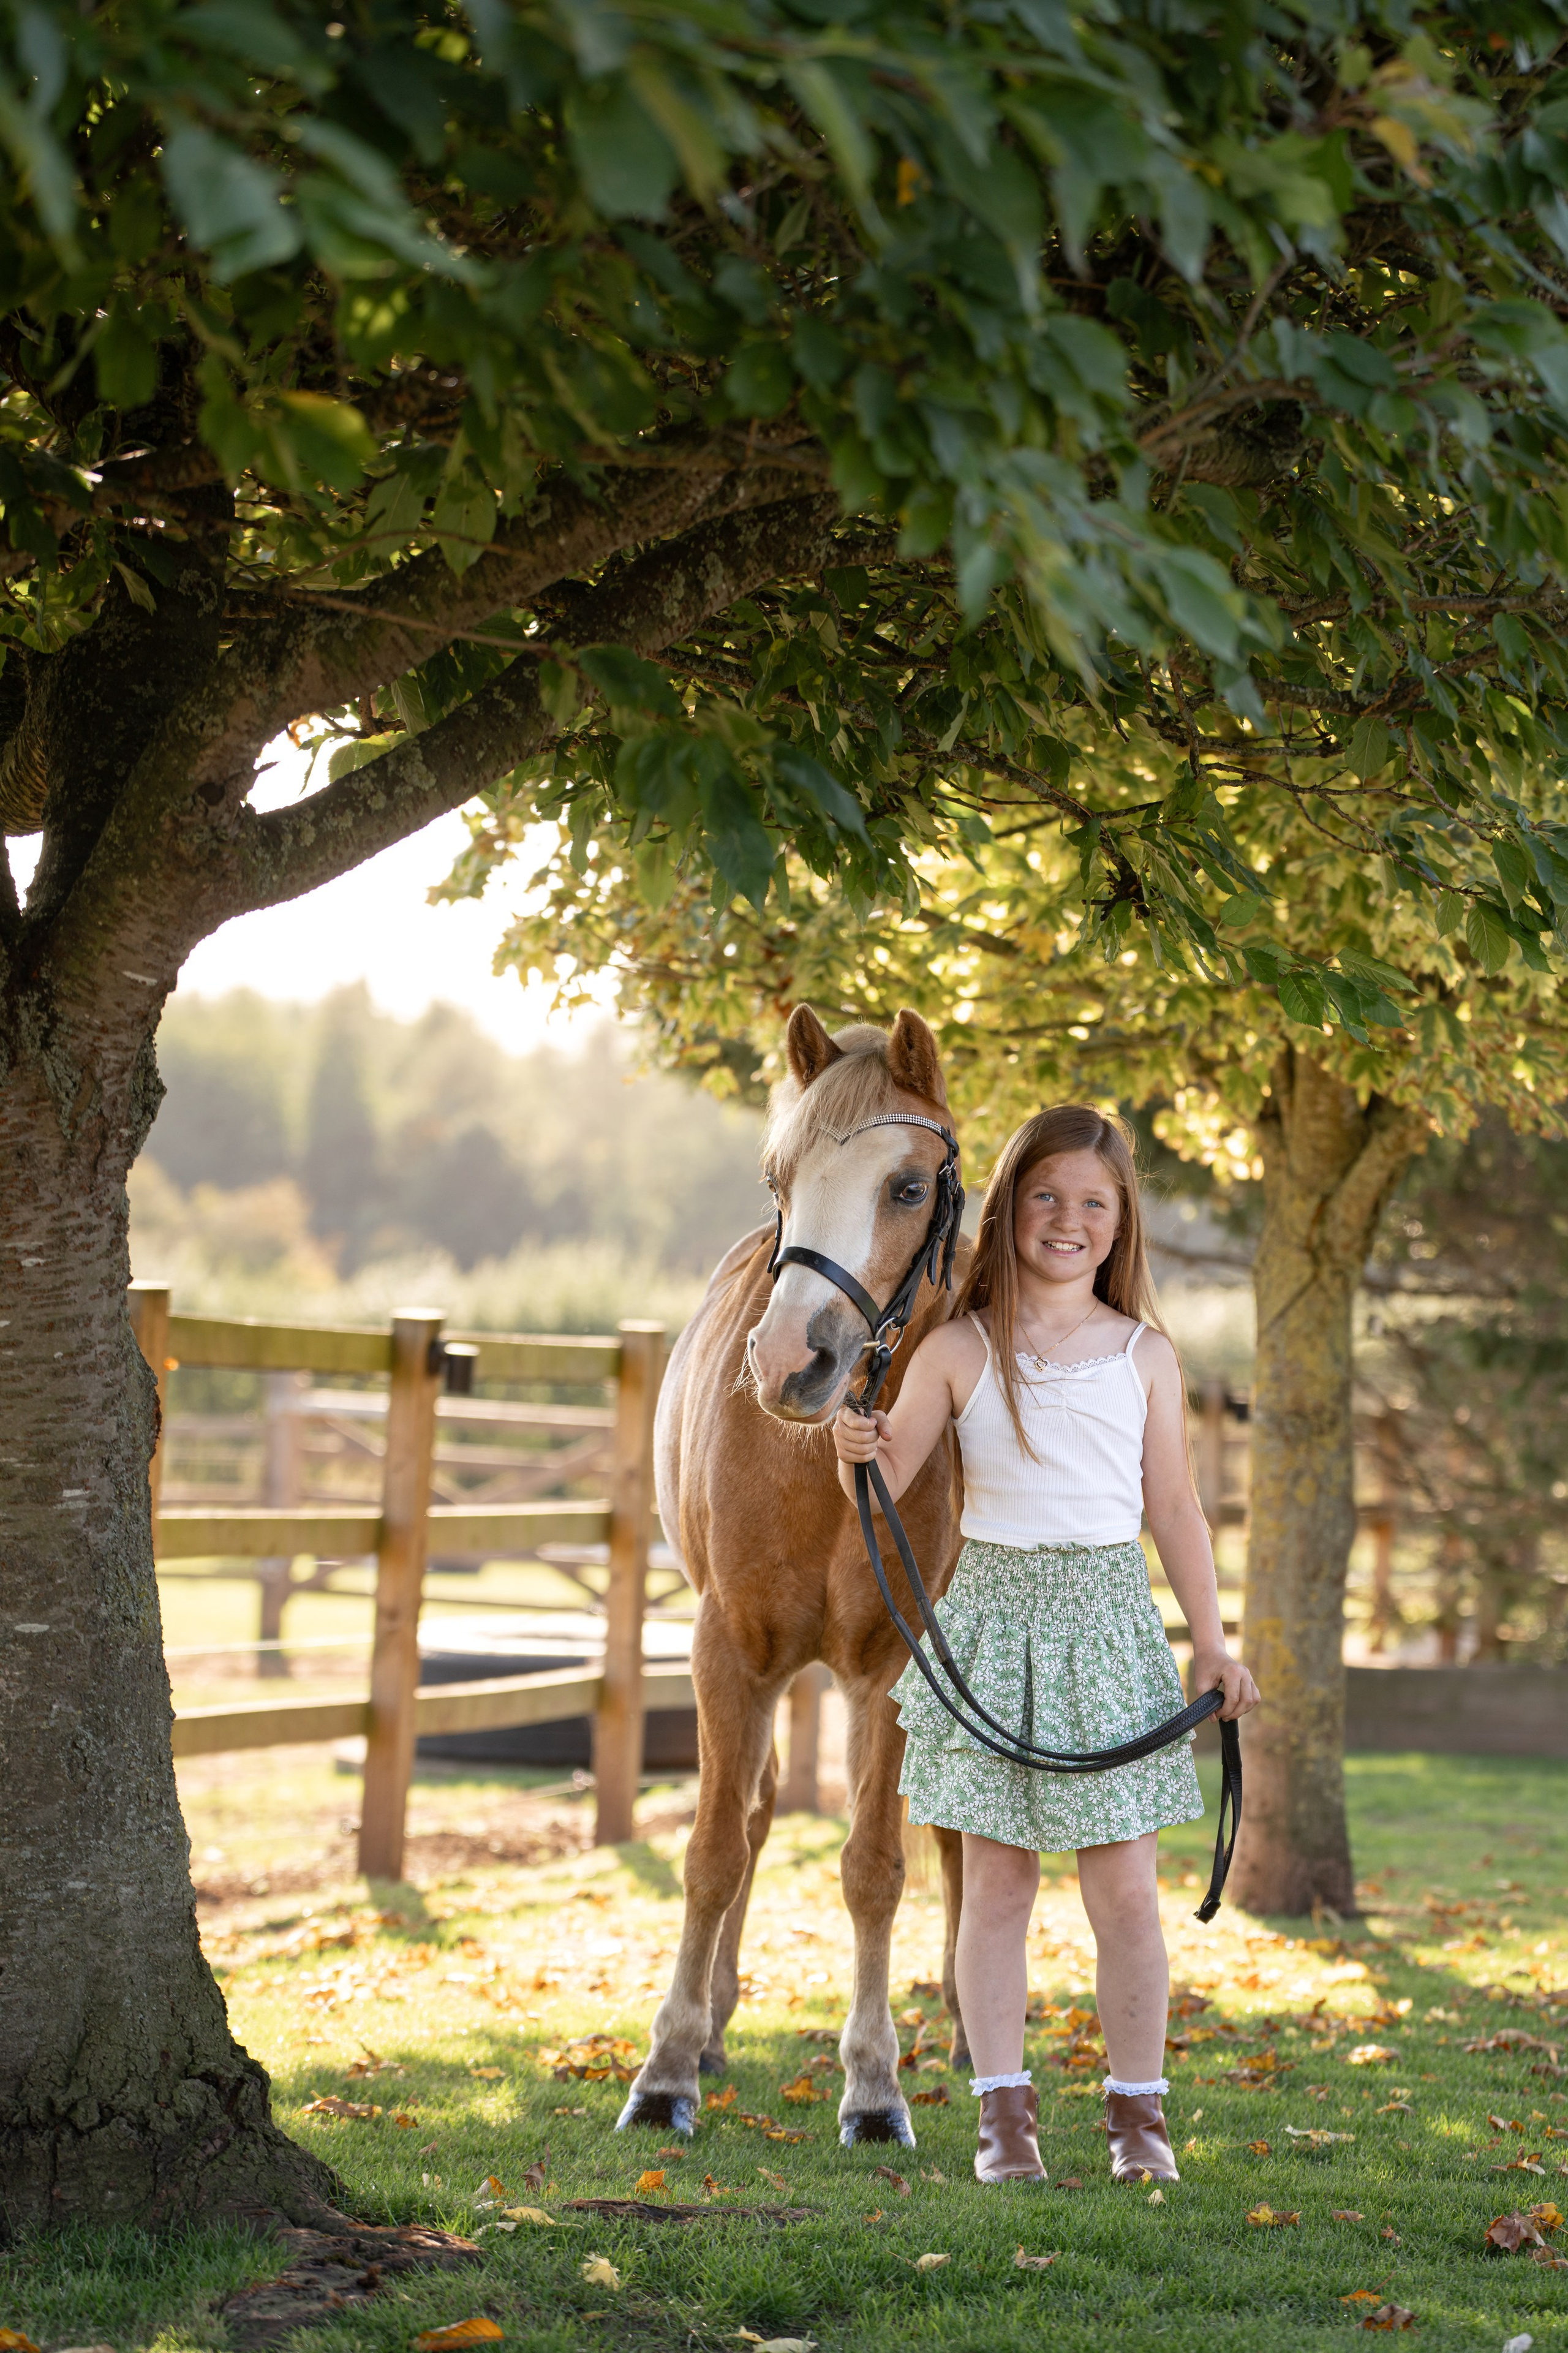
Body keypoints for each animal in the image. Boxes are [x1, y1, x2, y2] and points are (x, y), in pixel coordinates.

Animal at [617, 1004, 971, 2148]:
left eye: (908, 1187)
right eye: (778, 1178)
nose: (786, 1364)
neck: (819, 1466)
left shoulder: (892, 1668)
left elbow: (875, 1867)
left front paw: (875, 2087)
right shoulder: (728, 1652)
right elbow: (714, 1849)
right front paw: (667, 2070)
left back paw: (967, 2025)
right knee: (757, 1812)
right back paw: (716, 2028)